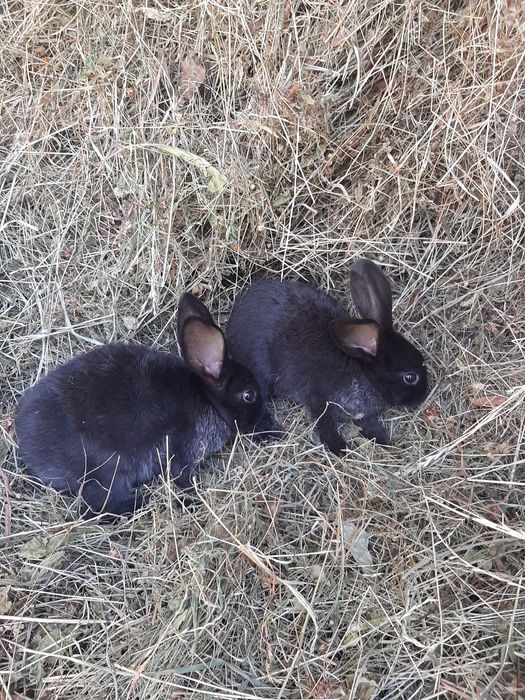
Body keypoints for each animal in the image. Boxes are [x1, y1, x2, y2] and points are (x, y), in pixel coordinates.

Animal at [15, 293, 265, 517]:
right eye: (249, 395)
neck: (207, 399)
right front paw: (196, 496)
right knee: (98, 507)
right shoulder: (184, 451)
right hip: (109, 469)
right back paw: (147, 504)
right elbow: (183, 477)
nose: (266, 421)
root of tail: (28, 449)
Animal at [226, 258, 428, 455]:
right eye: (410, 377)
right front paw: (340, 448)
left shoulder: (362, 413)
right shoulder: (317, 397)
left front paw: (383, 439)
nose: (423, 396)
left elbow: (369, 423)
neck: (363, 372)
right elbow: (325, 424)